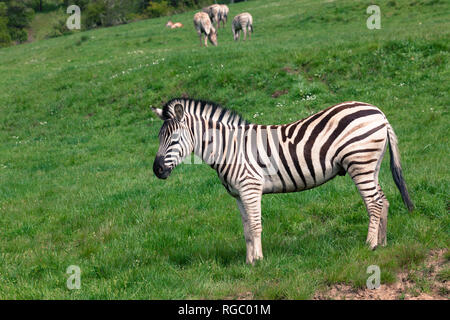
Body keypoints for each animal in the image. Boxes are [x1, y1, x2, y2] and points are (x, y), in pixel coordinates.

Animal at [152, 99, 414, 264]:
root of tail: (379, 113)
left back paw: (370, 245)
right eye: (158, 138)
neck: (229, 149)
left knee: (374, 203)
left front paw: (258, 261)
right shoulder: (238, 194)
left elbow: (255, 225)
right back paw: (382, 243)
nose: (157, 170)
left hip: (360, 163)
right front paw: (248, 262)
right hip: (371, 164)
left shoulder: (250, 187)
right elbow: (246, 229)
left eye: (174, 138)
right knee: (383, 200)